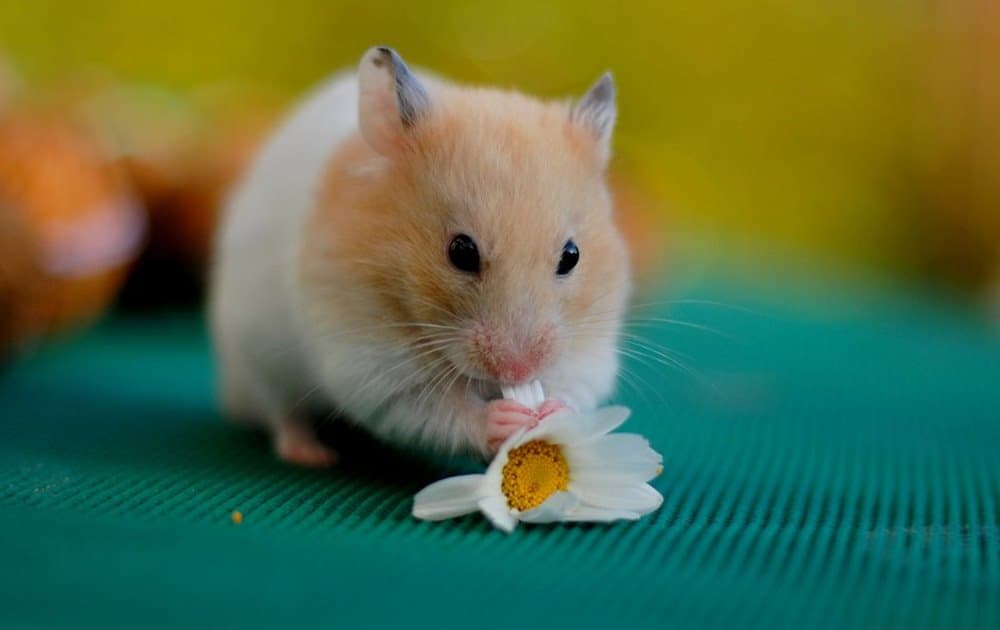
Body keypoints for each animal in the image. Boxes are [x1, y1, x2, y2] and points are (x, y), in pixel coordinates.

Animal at [209, 47, 630, 467]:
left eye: (572, 256)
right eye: (461, 252)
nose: (518, 370)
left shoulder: (588, 349)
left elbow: (573, 388)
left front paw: (551, 412)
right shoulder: (373, 367)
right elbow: (439, 412)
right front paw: (504, 420)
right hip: (258, 358)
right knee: (282, 413)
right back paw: (311, 454)